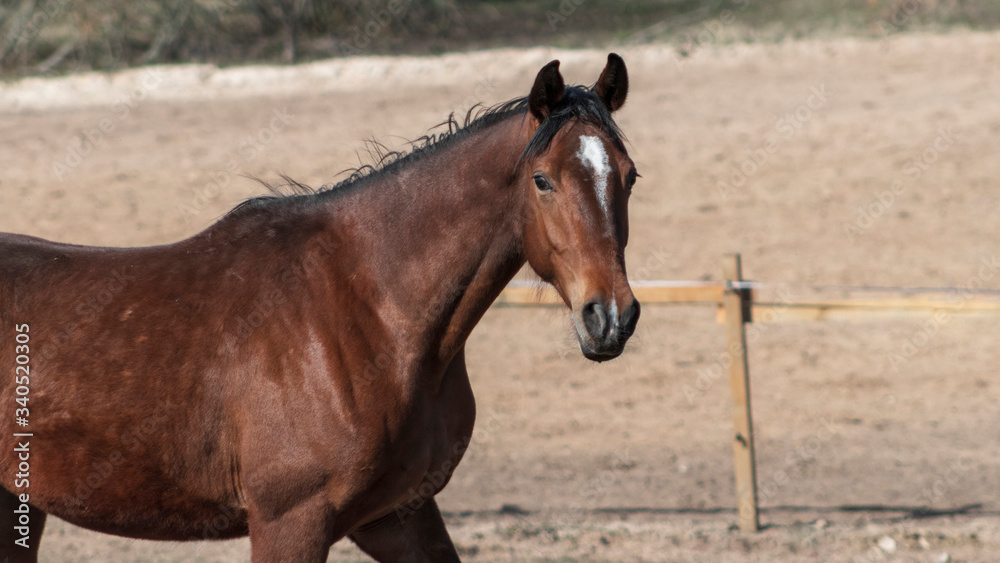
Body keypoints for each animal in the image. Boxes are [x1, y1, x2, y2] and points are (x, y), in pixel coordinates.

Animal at [0, 54, 640, 563]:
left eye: (630, 176)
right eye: (542, 180)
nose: (610, 317)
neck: (371, 313)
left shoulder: (400, 515)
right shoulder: (291, 523)